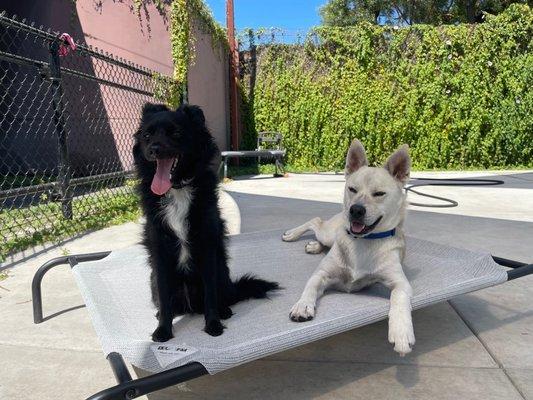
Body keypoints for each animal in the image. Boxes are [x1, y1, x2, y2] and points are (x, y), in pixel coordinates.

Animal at [133, 102, 278, 340]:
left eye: (176, 133)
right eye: (147, 135)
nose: (153, 149)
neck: (178, 188)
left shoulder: (207, 249)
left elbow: (210, 294)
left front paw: (213, 324)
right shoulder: (160, 253)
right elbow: (164, 297)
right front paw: (163, 330)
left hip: (222, 273)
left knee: (222, 297)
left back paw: (224, 310)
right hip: (152, 281)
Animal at [280, 139, 414, 354]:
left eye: (379, 194)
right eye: (352, 189)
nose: (356, 210)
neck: (364, 241)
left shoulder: (401, 283)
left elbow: (399, 299)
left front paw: (401, 333)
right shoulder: (321, 274)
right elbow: (310, 287)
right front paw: (303, 306)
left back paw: (314, 246)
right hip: (327, 233)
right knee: (316, 221)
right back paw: (293, 235)